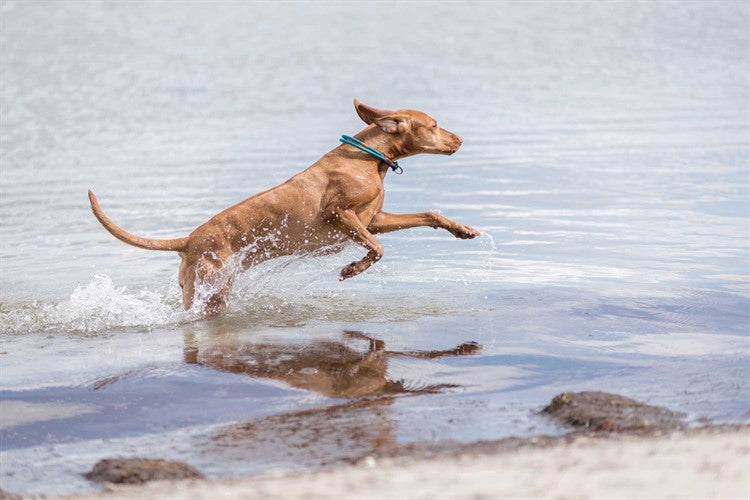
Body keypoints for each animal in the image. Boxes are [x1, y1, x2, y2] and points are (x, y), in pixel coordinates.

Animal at [89, 99, 482, 314]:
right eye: (434, 125)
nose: (462, 139)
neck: (369, 157)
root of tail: (187, 240)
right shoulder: (340, 214)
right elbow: (377, 248)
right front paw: (352, 269)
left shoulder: (375, 219)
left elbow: (428, 215)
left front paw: (462, 229)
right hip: (213, 283)